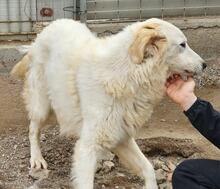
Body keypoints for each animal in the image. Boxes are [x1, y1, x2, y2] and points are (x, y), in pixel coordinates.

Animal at [11, 18, 205, 189]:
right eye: (182, 45)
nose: (205, 65)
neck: (127, 74)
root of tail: (45, 30)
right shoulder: (87, 147)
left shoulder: (122, 136)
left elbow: (148, 169)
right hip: (42, 105)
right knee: (33, 129)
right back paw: (37, 159)